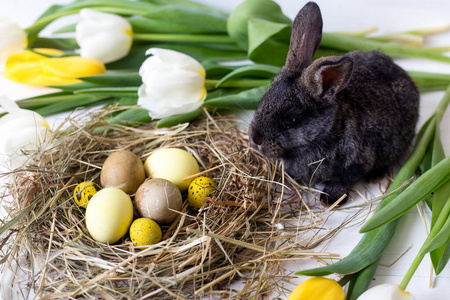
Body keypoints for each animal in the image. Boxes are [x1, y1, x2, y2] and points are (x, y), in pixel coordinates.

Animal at [248, 1, 420, 205]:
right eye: (263, 99)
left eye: (291, 119)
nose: (255, 139)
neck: (330, 129)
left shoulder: (358, 161)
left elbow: (344, 179)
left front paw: (329, 198)